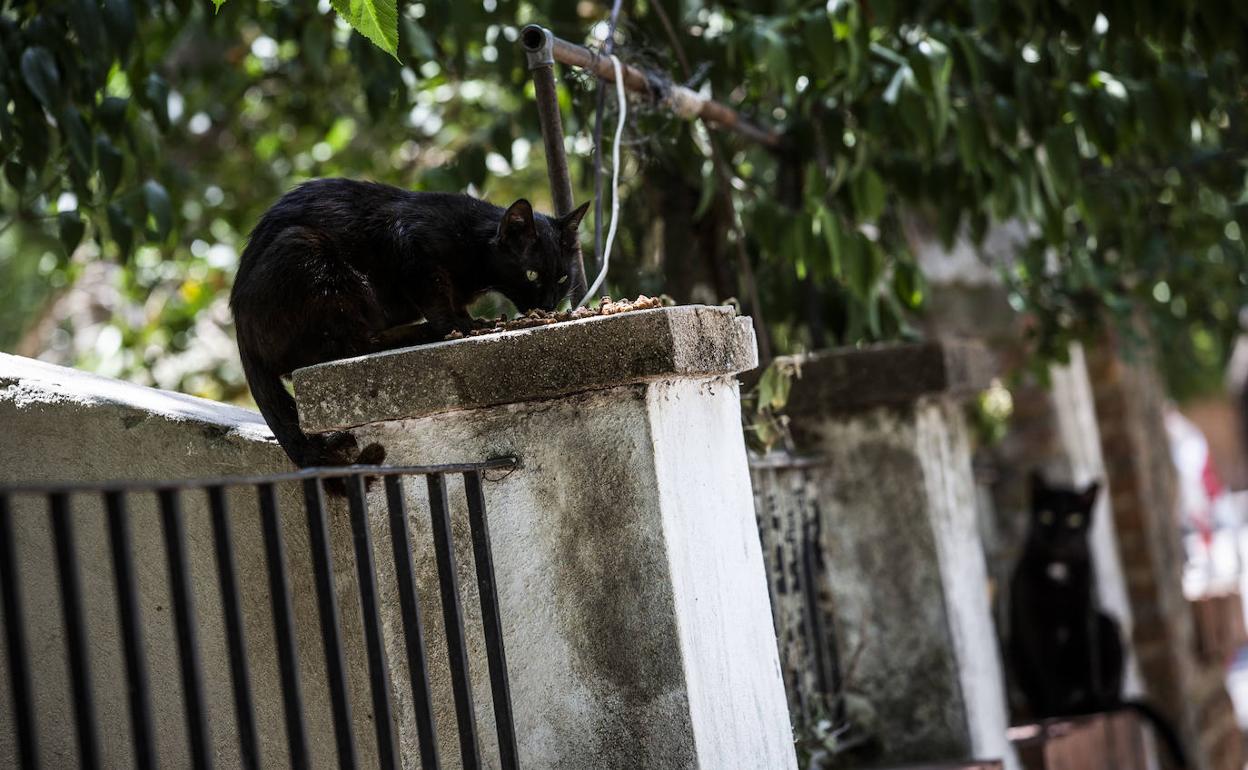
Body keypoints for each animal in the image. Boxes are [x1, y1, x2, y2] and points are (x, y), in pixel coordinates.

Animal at [230, 178, 589, 469]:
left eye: (561, 279)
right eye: (532, 274)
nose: (547, 304)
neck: (475, 243)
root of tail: (242, 335)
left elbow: (453, 302)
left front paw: (469, 320)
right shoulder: (410, 247)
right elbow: (438, 300)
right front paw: (463, 328)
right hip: (308, 253)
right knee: (350, 345)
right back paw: (420, 333)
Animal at [1003, 471, 1188, 763]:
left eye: (1074, 519)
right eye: (1046, 516)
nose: (1059, 536)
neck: (1059, 571)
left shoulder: (1085, 616)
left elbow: (1088, 657)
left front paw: (1089, 704)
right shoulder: (1035, 624)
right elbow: (1048, 669)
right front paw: (1057, 711)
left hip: (1108, 626)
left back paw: (1097, 705)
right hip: (1014, 650)